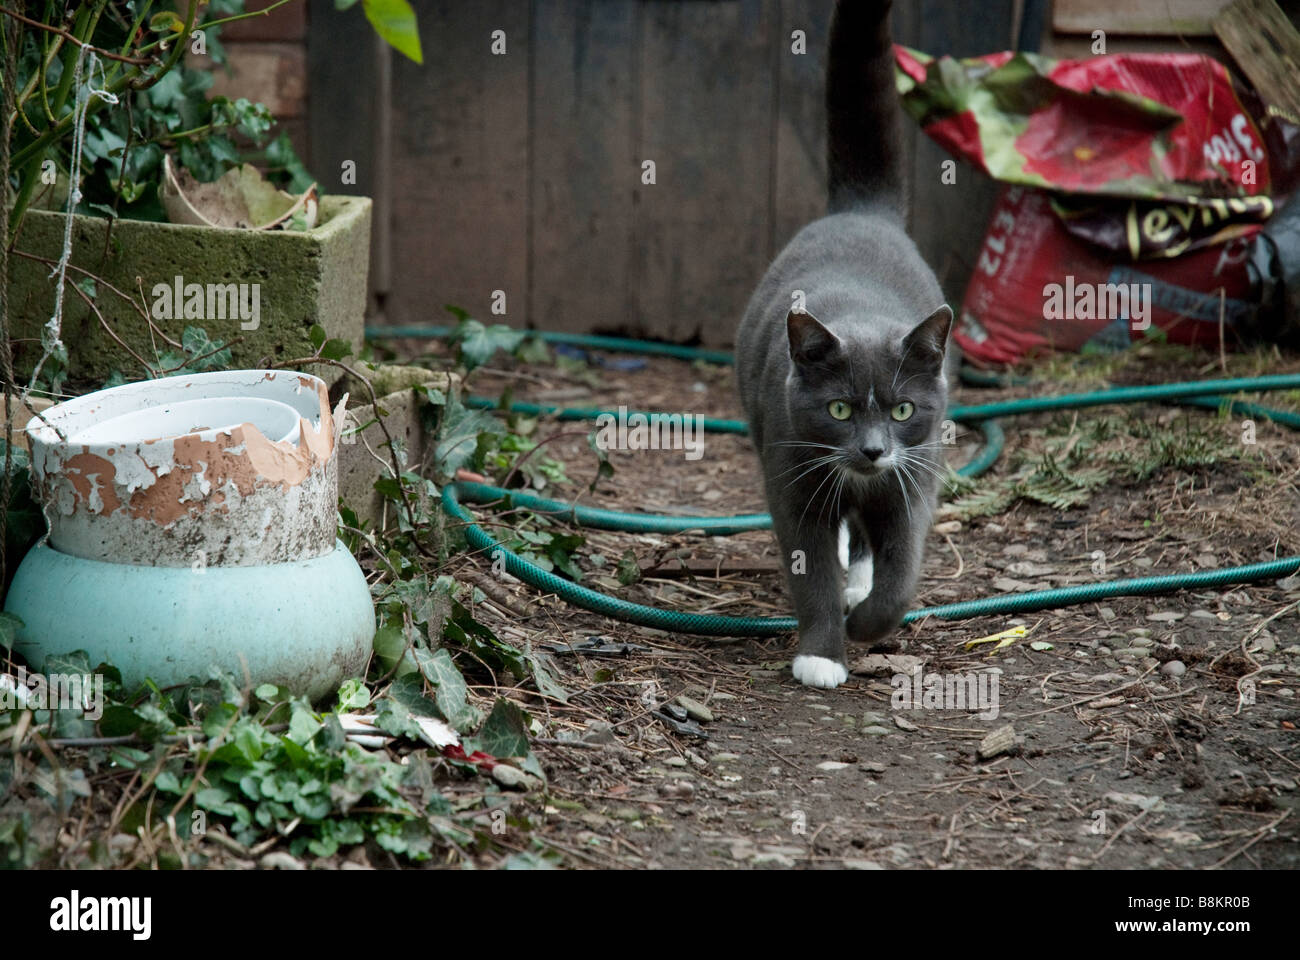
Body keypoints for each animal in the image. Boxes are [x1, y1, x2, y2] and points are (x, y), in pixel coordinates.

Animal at [733, 0, 956, 686]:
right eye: (838, 408)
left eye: (904, 409)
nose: (873, 449)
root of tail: (863, 211)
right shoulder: (791, 475)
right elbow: (810, 571)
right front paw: (823, 654)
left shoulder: (915, 476)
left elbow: (902, 572)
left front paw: (866, 622)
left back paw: (858, 579)